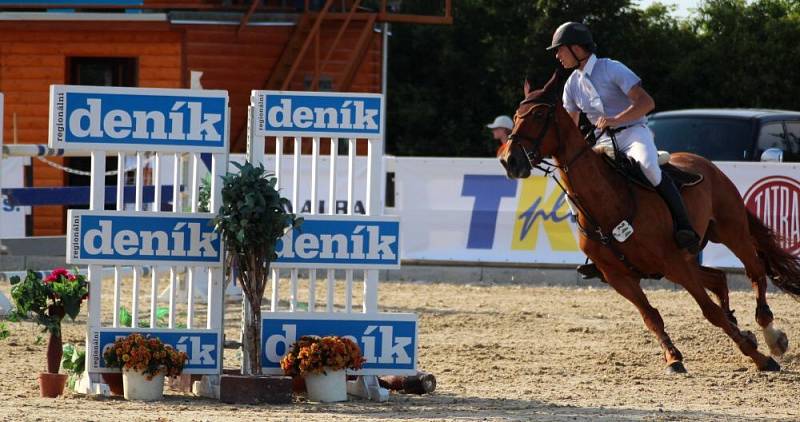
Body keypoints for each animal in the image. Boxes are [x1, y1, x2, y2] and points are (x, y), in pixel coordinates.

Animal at [500, 71, 800, 372]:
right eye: (515, 115)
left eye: (539, 114)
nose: (508, 160)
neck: (609, 202)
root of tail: (706, 163)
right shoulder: (619, 276)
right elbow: (651, 316)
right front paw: (673, 357)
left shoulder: (673, 263)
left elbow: (710, 311)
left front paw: (759, 357)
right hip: (686, 259)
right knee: (718, 278)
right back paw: (746, 329)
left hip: (730, 231)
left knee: (755, 271)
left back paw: (771, 336)